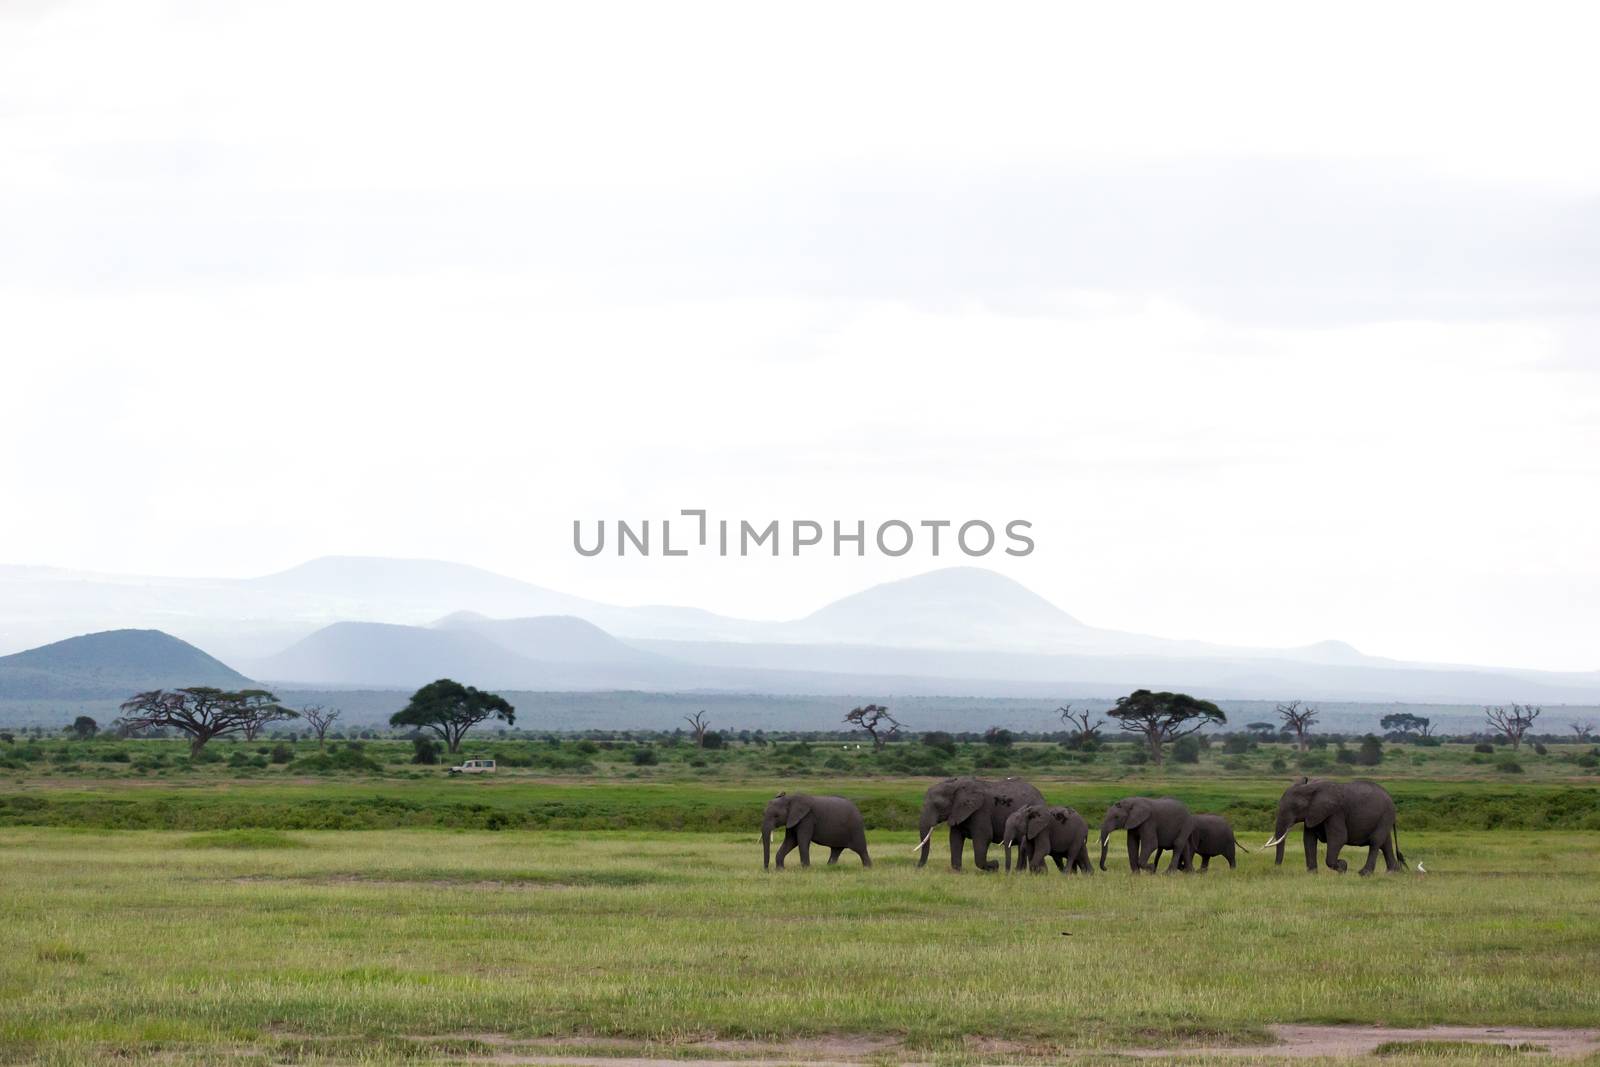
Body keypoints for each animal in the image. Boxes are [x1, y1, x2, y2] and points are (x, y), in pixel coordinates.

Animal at [915, 780, 1049, 870]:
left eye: (937, 805)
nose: (917, 867)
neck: (956, 784)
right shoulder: (958, 812)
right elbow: (955, 838)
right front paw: (958, 871)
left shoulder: (981, 811)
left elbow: (983, 838)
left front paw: (994, 866)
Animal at [1267, 777, 1408, 876]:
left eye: (1295, 807)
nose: (1277, 869)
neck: (1311, 788)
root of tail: (1392, 800)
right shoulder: (1313, 813)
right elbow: (1308, 840)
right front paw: (1312, 874)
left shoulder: (1335, 813)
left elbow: (1338, 839)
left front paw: (1343, 867)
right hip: (1384, 818)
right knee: (1385, 843)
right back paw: (1393, 872)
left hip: (1385, 816)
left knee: (1375, 841)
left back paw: (1364, 874)